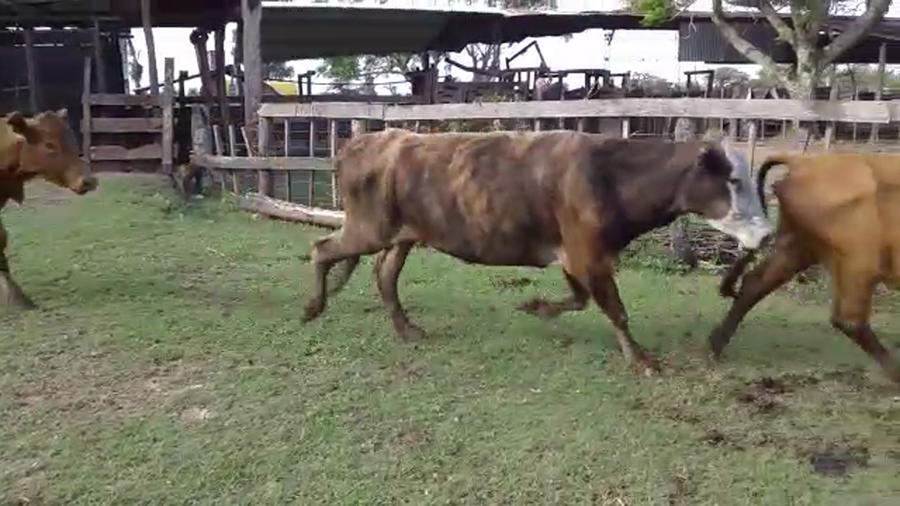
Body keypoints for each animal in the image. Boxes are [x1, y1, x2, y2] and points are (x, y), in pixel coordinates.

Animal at [300, 128, 772, 375]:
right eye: (733, 181)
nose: (768, 235)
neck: (611, 175)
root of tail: (369, 139)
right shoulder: (588, 252)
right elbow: (615, 309)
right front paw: (640, 358)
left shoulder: (575, 255)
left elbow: (581, 299)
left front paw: (536, 306)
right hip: (370, 228)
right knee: (323, 248)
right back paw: (312, 307)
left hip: (401, 235)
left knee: (384, 275)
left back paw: (407, 329)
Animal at [709, 152, 900, 383]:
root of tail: (803, 161)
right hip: (858, 263)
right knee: (849, 319)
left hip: (797, 250)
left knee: (754, 283)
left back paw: (716, 343)